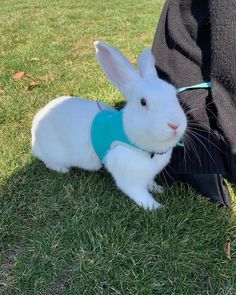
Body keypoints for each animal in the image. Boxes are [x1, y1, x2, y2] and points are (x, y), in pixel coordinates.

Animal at [31, 42, 187, 212]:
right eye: (143, 102)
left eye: (174, 95)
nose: (175, 124)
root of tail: (35, 127)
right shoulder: (129, 178)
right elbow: (140, 195)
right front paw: (156, 207)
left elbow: (150, 183)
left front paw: (158, 189)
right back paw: (63, 170)